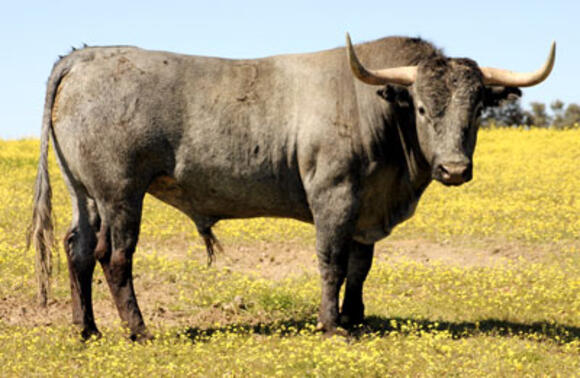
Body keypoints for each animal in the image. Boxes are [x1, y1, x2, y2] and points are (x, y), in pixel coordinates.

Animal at [29, 33, 556, 340]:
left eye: (478, 108)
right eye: (423, 108)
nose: (454, 169)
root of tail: (83, 58)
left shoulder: (366, 206)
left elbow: (360, 267)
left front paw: (356, 317)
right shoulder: (334, 196)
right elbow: (333, 262)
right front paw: (332, 325)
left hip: (85, 193)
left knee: (78, 249)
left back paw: (86, 329)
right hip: (120, 193)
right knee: (114, 256)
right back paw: (137, 330)